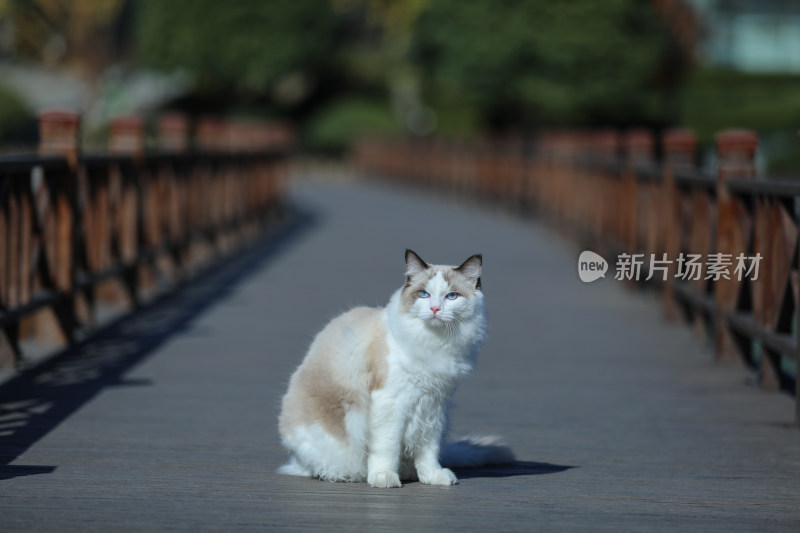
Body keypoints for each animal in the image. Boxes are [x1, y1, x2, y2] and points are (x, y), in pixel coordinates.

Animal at [276, 249, 512, 486]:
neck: (435, 342)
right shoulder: (391, 402)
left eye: (451, 296)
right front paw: (384, 478)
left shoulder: (433, 406)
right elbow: (387, 447)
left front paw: (432, 477)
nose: (435, 308)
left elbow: (428, 449)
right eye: (424, 294)